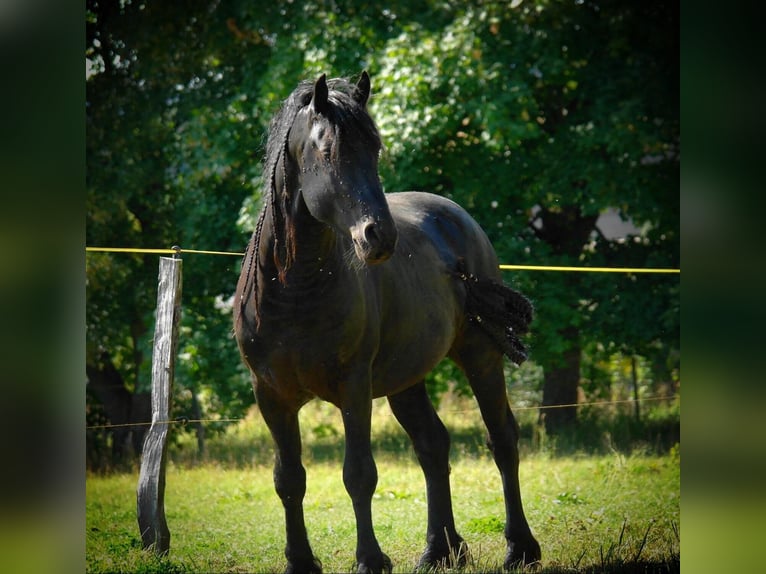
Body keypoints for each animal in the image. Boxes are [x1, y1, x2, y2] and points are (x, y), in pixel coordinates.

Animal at [237, 73, 544, 574]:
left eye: (375, 148)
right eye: (327, 151)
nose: (378, 236)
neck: (294, 291)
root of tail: (458, 218)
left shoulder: (354, 386)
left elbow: (359, 474)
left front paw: (370, 559)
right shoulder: (270, 395)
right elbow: (289, 479)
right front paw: (300, 561)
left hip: (480, 356)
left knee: (502, 440)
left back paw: (519, 548)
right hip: (406, 379)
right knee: (433, 445)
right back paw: (441, 550)